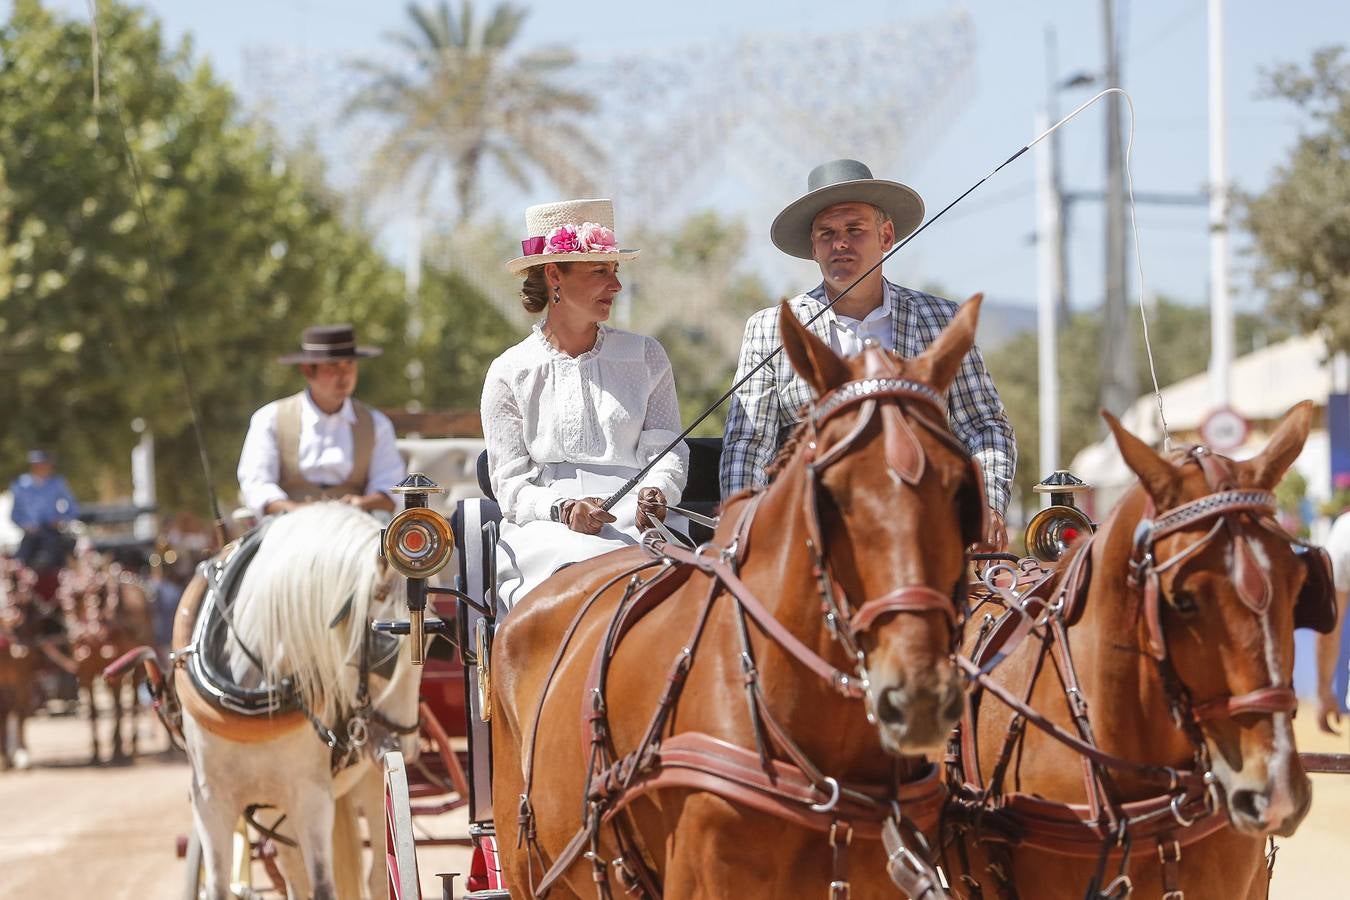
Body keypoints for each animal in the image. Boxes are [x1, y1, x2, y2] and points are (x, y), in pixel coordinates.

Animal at [180, 507, 421, 900]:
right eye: (384, 644)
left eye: (433, 640)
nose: (405, 744)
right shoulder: (209, 799)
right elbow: (218, 887)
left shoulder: (311, 797)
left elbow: (324, 885)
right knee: (295, 875)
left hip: (368, 781)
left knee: (375, 876)